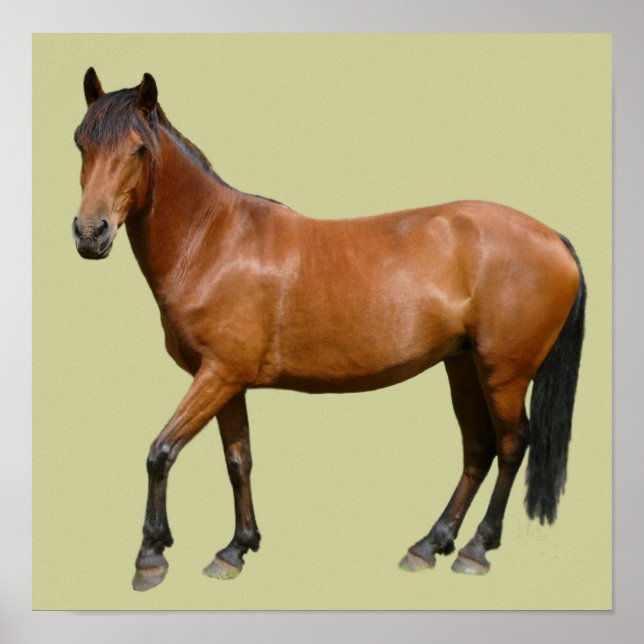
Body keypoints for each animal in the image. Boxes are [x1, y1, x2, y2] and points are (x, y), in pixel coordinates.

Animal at [71, 69, 586, 592]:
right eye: (80, 143)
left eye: (138, 148)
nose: (91, 233)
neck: (213, 243)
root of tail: (555, 239)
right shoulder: (226, 381)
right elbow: (239, 460)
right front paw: (236, 548)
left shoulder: (218, 376)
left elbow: (161, 452)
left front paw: (151, 555)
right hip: (462, 364)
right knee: (478, 447)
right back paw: (429, 544)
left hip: (504, 373)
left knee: (511, 445)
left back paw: (476, 549)